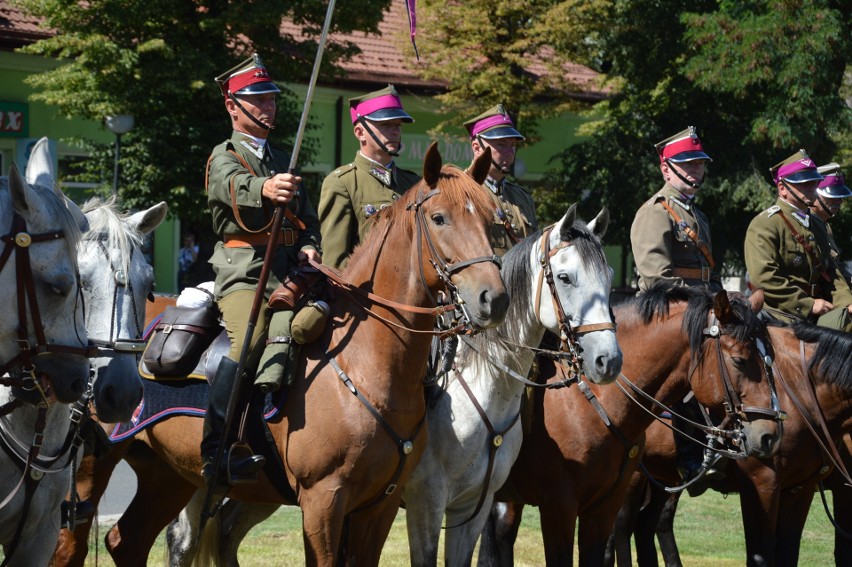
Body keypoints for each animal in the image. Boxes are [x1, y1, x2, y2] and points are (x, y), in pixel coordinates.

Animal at [53, 143, 510, 567]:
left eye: (491, 221)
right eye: (439, 218)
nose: (494, 299)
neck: (366, 364)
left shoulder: (379, 505)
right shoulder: (324, 501)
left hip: (168, 473)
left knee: (127, 541)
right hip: (94, 463)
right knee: (71, 545)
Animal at [476, 286, 784, 564]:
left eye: (770, 357)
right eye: (739, 360)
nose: (770, 435)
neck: (595, 401)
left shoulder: (603, 509)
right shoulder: (558, 508)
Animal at [604, 320, 852, 567]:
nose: (767, 438)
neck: (800, 393)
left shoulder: (800, 489)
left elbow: (788, 554)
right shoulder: (762, 483)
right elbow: (761, 554)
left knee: (645, 525)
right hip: (634, 476)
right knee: (622, 526)